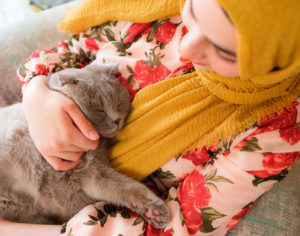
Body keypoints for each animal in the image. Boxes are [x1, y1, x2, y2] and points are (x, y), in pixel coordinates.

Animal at [0, 63, 169, 230]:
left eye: (118, 102)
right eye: (99, 108)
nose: (116, 120)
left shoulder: (93, 171)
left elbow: (125, 187)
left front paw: (153, 211)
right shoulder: (53, 183)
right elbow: (77, 207)